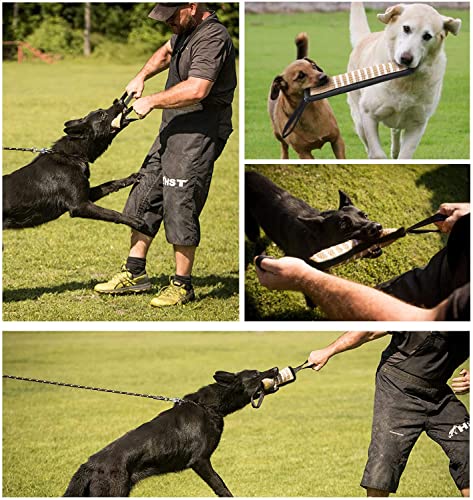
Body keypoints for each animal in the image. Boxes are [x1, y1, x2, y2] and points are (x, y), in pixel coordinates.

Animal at [3, 99, 140, 230]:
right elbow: (112, 213)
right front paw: (135, 221)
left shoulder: (87, 195)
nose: (119, 101)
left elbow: (109, 184)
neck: (72, 155)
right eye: (102, 115)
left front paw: (132, 178)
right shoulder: (80, 206)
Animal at [62, 366, 276, 498]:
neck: (209, 407)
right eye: (256, 373)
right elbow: (221, 487)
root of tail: (88, 466)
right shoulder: (200, 461)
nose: (274, 369)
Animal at [346, 1, 458, 158]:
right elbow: (377, 153)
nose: (406, 58)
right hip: (359, 120)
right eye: (406, 28)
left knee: (395, 132)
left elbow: (405, 155)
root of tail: (365, 38)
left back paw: (395, 150)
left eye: (427, 36)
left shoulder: (418, 123)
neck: (404, 81)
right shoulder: (368, 115)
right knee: (369, 145)